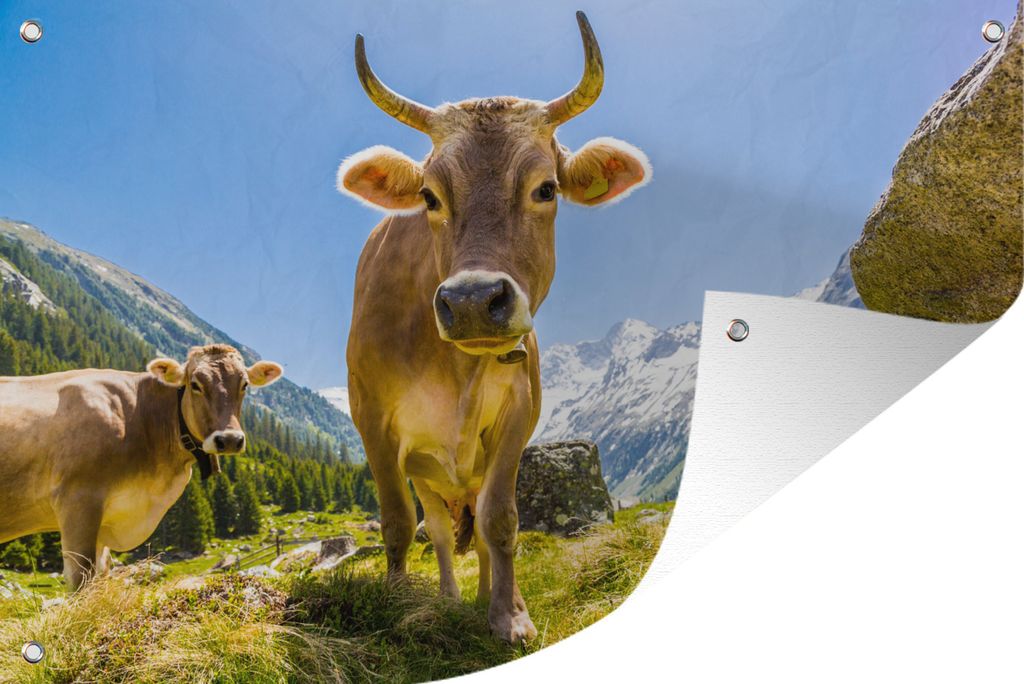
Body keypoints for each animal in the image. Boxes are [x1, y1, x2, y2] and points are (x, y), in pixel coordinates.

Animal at [0, 344, 282, 589]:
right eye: (195, 385)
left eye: (244, 384)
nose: (230, 439)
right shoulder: (77, 499)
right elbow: (81, 579)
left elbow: (102, 575)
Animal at [338, 12, 651, 642]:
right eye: (429, 196)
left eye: (546, 188)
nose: (473, 301)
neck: (454, 367)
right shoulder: (371, 417)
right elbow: (396, 521)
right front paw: (399, 603)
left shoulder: (518, 413)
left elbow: (500, 521)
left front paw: (509, 614)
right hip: (427, 471)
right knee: (436, 530)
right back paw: (448, 597)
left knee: (478, 526)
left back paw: (482, 596)